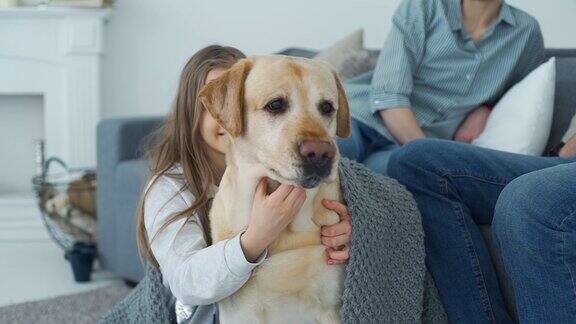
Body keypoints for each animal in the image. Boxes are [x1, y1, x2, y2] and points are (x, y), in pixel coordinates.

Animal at [198, 54, 352, 322]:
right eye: (275, 105)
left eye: (327, 107)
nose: (321, 153)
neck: (285, 234)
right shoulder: (237, 312)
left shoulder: (331, 307)